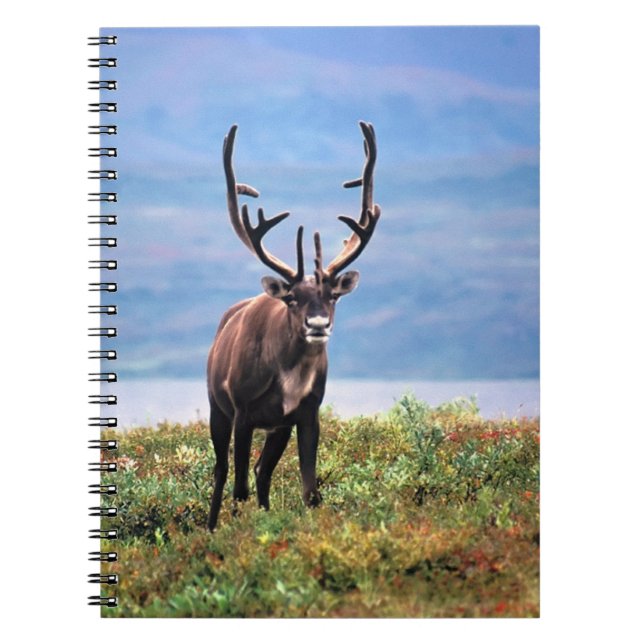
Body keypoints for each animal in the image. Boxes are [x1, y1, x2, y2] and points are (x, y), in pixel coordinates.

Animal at [206, 121, 380, 530]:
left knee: (261, 472)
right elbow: (238, 489)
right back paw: (211, 526)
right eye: (292, 298)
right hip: (217, 408)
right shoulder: (243, 412)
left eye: (333, 296)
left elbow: (310, 491)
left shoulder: (305, 412)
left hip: (277, 428)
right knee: (222, 473)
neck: (289, 375)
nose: (317, 323)